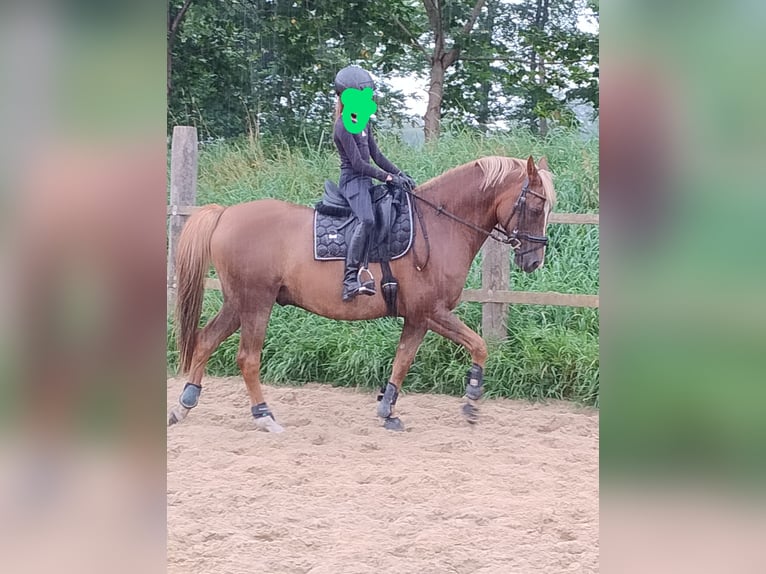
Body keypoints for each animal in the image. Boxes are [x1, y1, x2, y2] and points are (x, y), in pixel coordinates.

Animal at [171, 155, 560, 434]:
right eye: (535, 207)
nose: (534, 260)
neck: (440, 224)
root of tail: (225, 214)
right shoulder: (431, 311)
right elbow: (479, 345)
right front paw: (472, 401)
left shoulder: (418, 318)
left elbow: (402, 361)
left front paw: (388, 410)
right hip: (256, 303)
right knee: (247, 358)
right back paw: (263, 415)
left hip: (238, 302)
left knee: (205, 340)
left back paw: (184, 404)